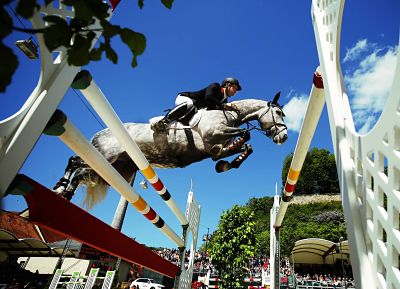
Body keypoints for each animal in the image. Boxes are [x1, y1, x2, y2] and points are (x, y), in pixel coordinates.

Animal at [54, 94, 290, 205]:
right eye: (278, 113)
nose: (284, 137)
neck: (228, 113)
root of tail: (100, 132)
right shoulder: (214, 134)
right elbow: (245, 136)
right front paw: (226, 160)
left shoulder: (216, 143)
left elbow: (243, 146)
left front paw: (225, 164)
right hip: (105, 156)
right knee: (76, 163)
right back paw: (62, 188)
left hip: (114, 171)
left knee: (80, 169)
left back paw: (63, 189)